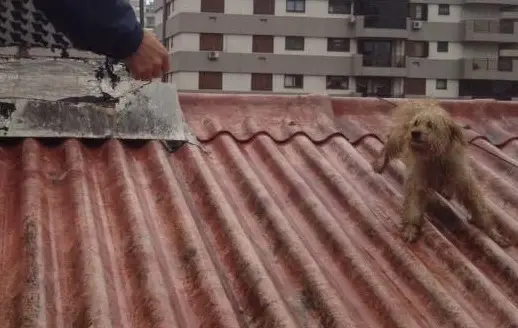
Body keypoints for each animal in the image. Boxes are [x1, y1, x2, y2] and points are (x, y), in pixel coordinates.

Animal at [372, 99, 510, 246]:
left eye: (430, 125)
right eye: (416, 123)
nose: (414, 133)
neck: (436, 157)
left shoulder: (462, 177)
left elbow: (477, 204)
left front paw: (492, 231)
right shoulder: (417, 177)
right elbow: (414, 201)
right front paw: (411, 227)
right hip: (399, 136)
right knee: (390, 145)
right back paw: (381, 162)